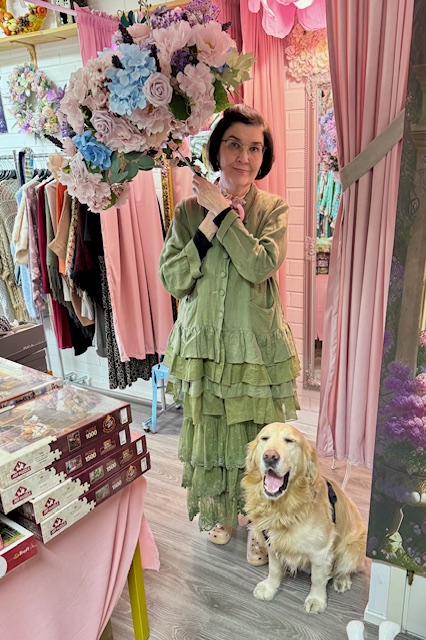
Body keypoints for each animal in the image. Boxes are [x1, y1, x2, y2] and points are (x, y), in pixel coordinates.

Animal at [242, 422, 367, 614]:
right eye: (264, 438)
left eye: (289, 441)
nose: (270, 457)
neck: (283, 507)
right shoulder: (271, 541)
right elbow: (274, 569)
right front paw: (270, 588)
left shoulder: (321, 550)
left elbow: (318, 578)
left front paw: (316, 600)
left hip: (353, 547)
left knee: (345, 569)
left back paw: (342, 580)